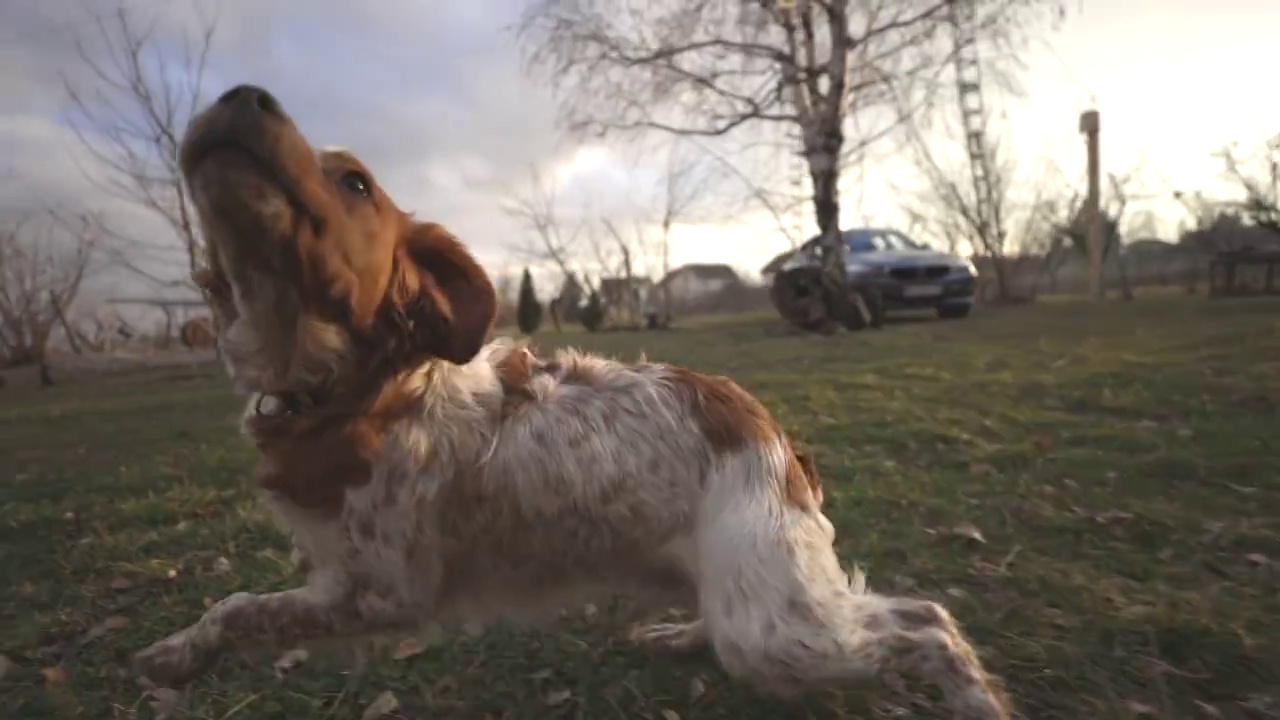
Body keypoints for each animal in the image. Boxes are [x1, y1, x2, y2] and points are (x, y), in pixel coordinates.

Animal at [129, 85, 1008, 717]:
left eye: (355, 182)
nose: (241, 95)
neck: (346, 390)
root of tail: (767, 426)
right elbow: (232, 605)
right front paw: (179, 652)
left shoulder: (384, 587)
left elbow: (247, 606)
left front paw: (184, 652)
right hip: (719, 581)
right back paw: (678, 635)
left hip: (774, 628)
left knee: (927, 622)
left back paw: (977, 702)